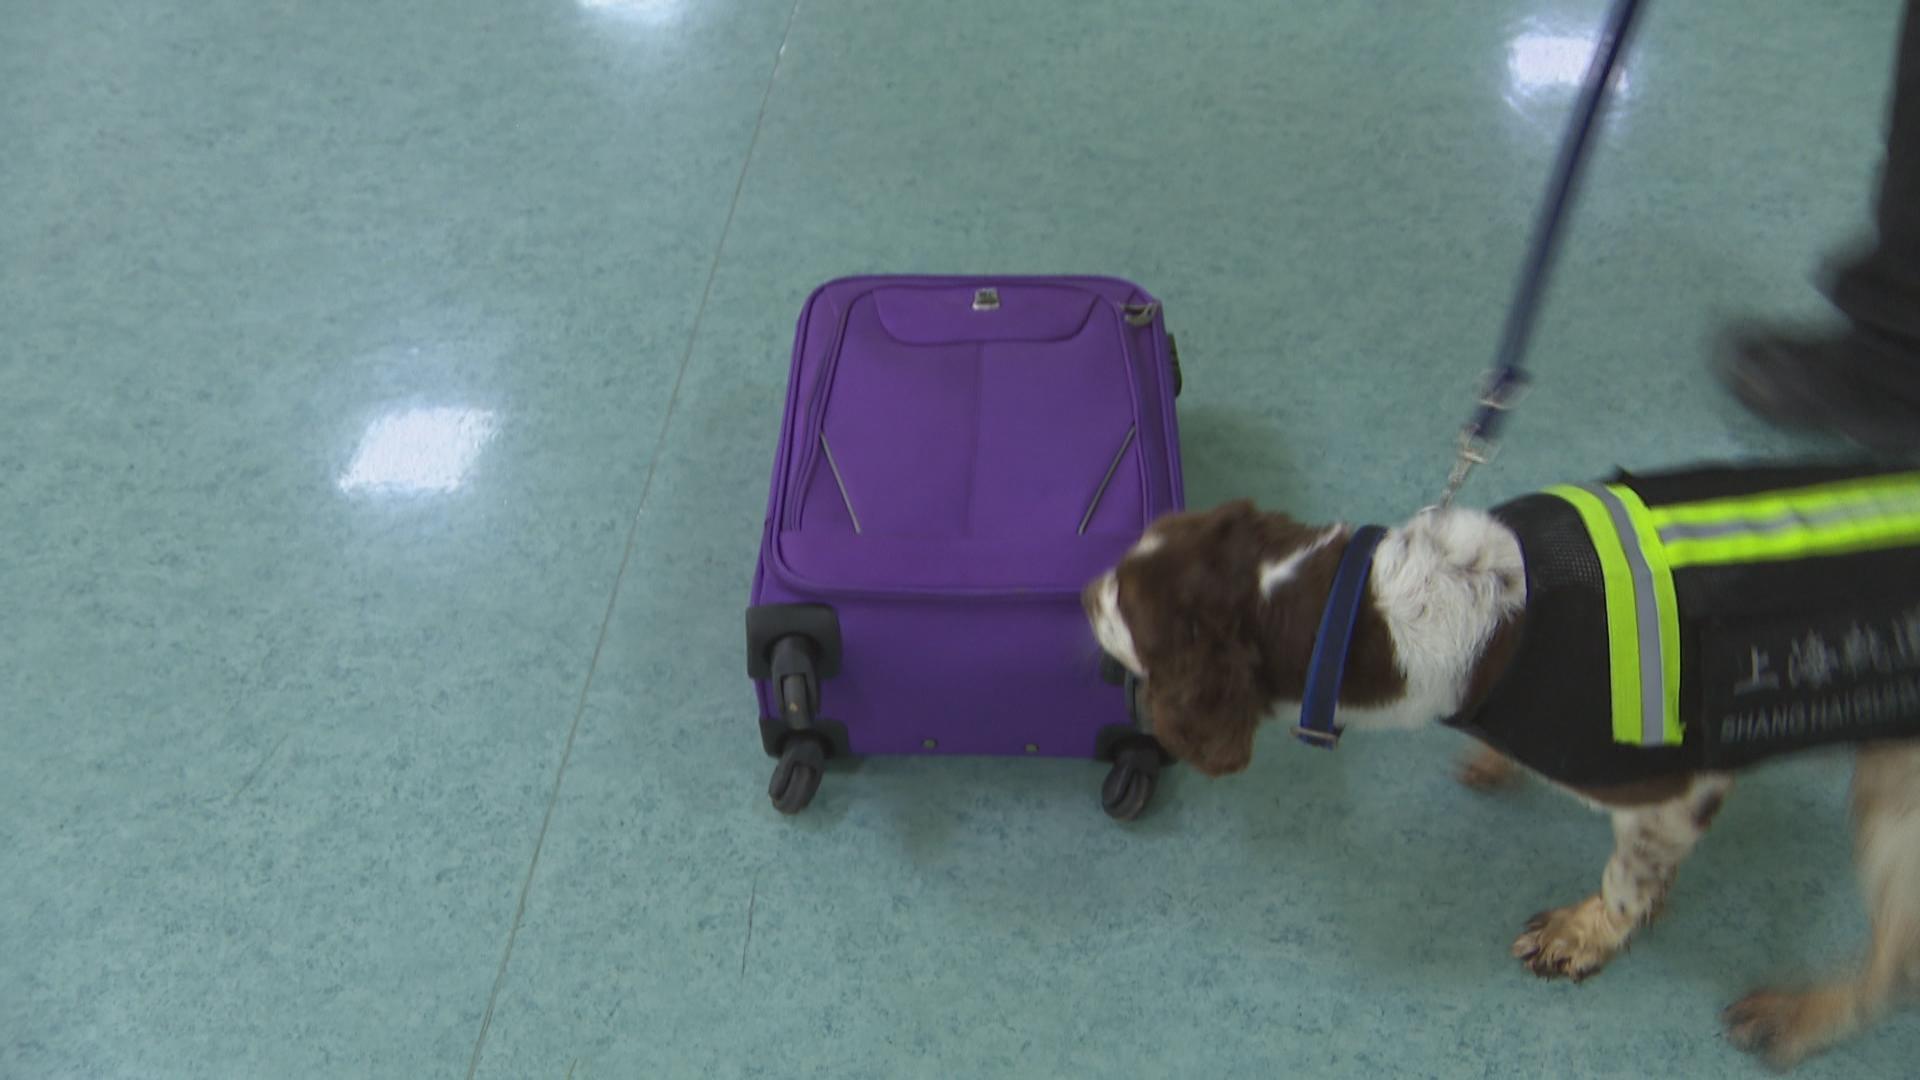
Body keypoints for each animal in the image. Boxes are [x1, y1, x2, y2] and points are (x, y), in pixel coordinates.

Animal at [1084, 463, 1920, 1068]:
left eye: (1122, 604)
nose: (1084, 589)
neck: (1373, 609)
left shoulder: (1681, 784)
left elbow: (1627, 876)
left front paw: (1588, 933)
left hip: (1895, 800)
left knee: (1891, 965)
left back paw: (1801, 1015)